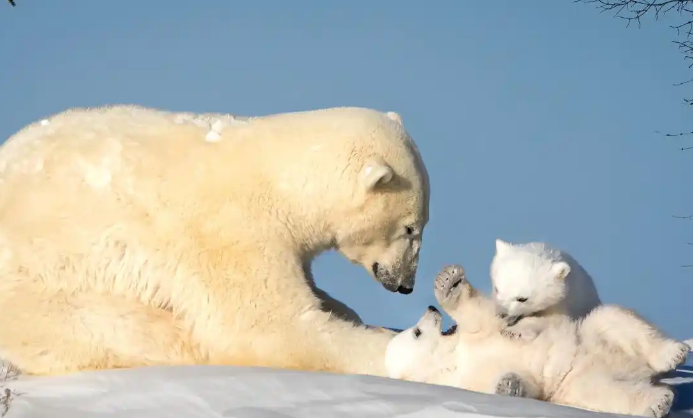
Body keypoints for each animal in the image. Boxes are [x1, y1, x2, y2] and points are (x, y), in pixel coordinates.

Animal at [0, 104, 430, 376]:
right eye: (411, 228)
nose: (406, 285)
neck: (281, 182)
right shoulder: (230, 233)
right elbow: (271, 328)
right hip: (43, 286)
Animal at [385, 264, 677, 418]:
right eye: (417, 332)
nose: (431, 309)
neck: (450, 359)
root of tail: (634, 372)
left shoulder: (477, 335)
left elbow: (481, 316)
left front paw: (447, 281)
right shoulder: (466, 381)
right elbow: (524, 385)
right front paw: (508, 384)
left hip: (589, 336)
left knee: (618, 320)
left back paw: (672, 353)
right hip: (580, 386)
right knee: (609, 393)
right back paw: (657, 402)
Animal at [490, 238, 689, 375]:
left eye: (522, 298)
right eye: (497, 289)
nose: (501, 314)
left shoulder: (566, 305)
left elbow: (547, 322)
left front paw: (515, 331)